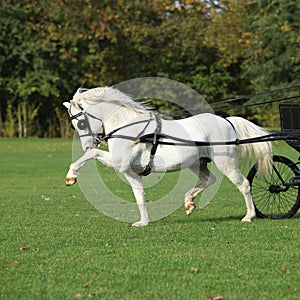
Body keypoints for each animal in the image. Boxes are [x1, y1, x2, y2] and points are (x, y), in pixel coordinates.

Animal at [62, 85, 272, 226]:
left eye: (80, 123)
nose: (87, 145)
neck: (126, 126)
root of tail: (226, 121)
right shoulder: (130, 171)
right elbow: (139, 195)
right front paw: (143, 222)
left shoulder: (119, 163)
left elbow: (93, 155)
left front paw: (71, 176)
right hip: (197, 163)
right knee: (209, 179)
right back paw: (189, 203)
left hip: (225, 162)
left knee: (243, 184)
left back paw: (249, 216)